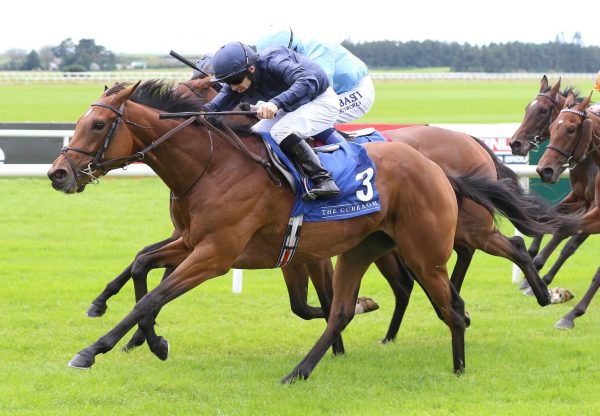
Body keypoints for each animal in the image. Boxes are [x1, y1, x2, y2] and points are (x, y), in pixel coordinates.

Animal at [510, 77, 596, 292]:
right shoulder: (579, 197)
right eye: (527, 107)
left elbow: (568, 242)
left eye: (542, 110)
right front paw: (531, 256)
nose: (515, 144)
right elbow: (551, 217)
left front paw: (541, 274)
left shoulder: (593, 204)